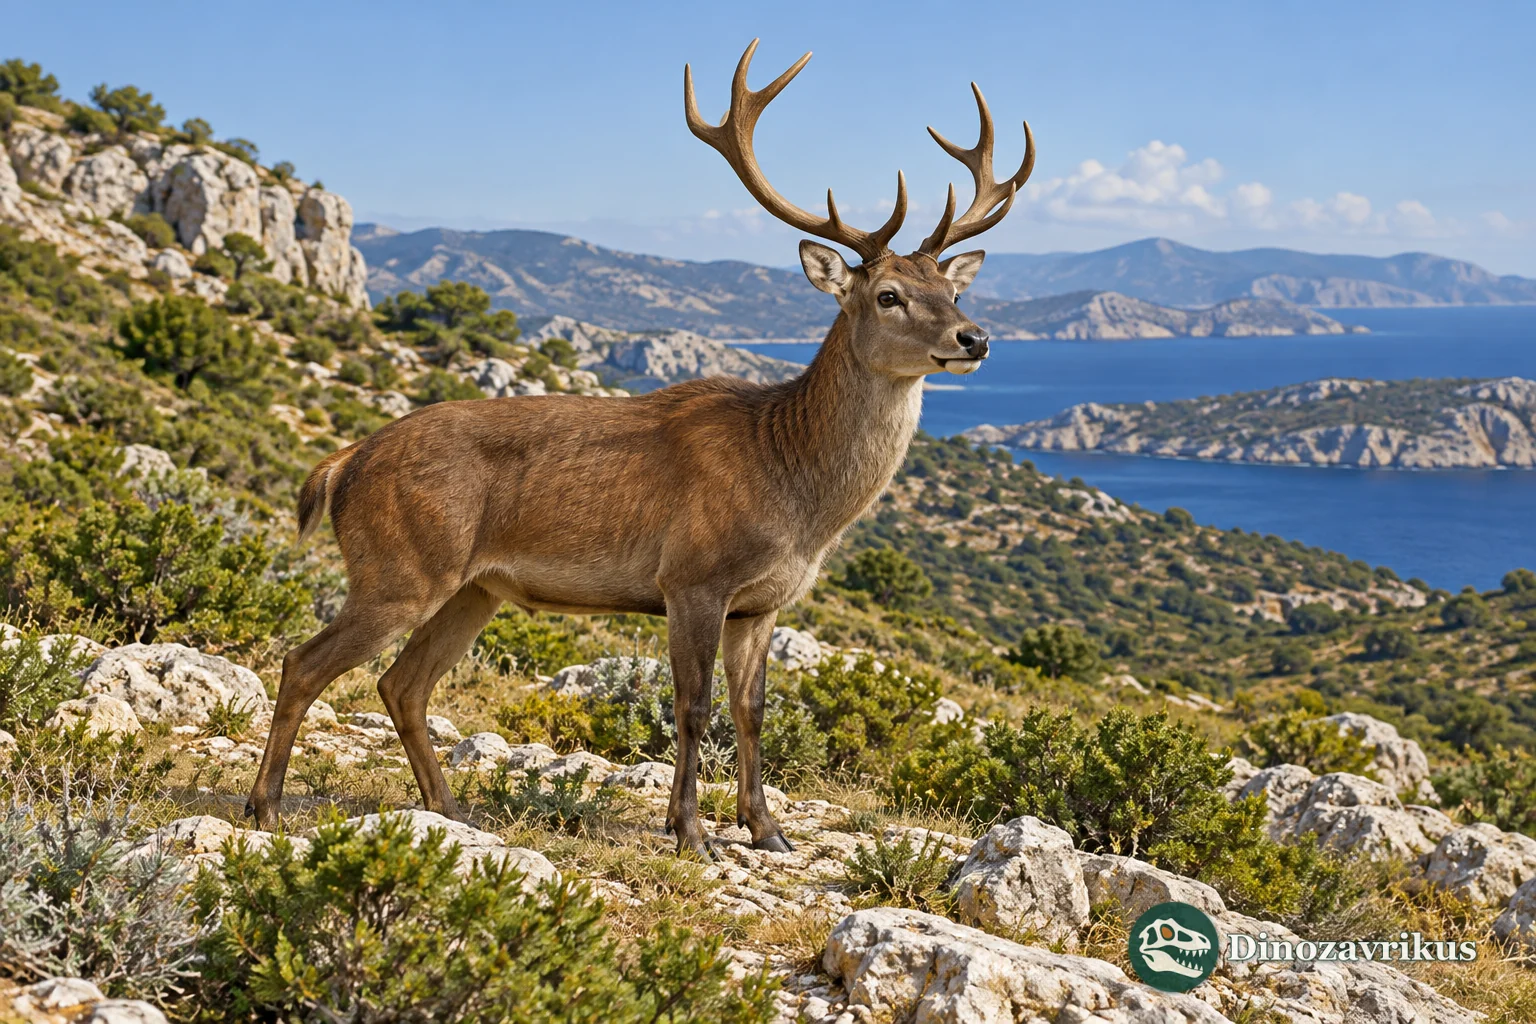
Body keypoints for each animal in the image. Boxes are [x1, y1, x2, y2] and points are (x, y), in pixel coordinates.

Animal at [246, 38, 1034, 858]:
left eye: (952, 288)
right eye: (887, 295)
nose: (975, 338)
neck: (793, 489)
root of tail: (342, 464)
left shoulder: (764, 604)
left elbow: (754, 708)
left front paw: (767, 830)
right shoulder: (692, 575)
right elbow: (693, 705)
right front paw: (690, 830)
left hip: (471, 587)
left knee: (402, 682)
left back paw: (450, 809)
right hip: (398, 567)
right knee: (304, 662)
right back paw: (266, 807)